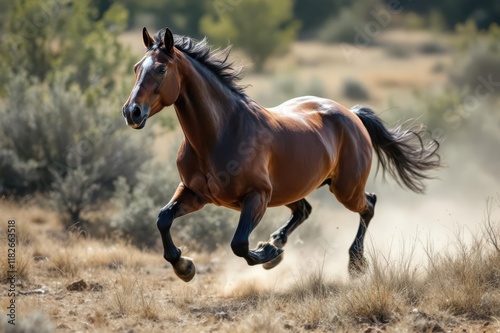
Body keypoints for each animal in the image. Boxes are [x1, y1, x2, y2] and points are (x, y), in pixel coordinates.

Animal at [123, 27, 440, 280]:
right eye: (137, 67)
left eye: (160, 69)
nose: (131, 112)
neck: (221, 133)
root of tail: (352, 114)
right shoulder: (194, 193)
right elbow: (163, 218)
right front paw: (184, 266)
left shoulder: (257, 196)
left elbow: (239, 244)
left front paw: (268, 253)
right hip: (292, 189)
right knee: (305, 210)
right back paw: (279, 239)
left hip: (345, 189)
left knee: (369, 205)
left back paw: (355, 264)